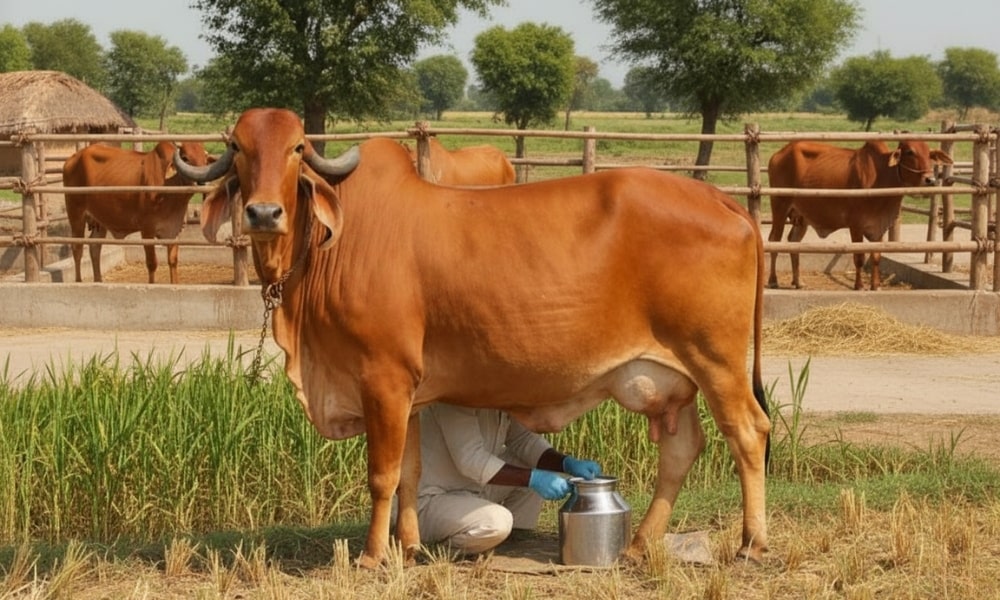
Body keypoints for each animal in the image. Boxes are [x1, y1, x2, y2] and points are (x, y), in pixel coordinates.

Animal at [62, 141, 212, 284]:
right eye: (185, 158)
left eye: (205, 158)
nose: (202, 182)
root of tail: (73, 158)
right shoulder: (147, 230)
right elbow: (152, 263)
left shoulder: (175, 228)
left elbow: (173, 261)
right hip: (76, 214)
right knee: (77, 248)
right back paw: (79, 281)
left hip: (100, 220)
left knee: (94, 246)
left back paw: (98, 281)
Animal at [174, 108, 769, 569]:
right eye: (237, 146)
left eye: (298, 147)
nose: (263, 212)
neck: (328, 249)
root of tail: (724, 200)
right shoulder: (410, 393)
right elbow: (411, 475)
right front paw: (410, 549)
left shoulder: (382, 379)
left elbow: (382, 476)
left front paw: (371, 557)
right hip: (674, 378)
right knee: (682, 450)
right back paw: (639, 545)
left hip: (715, 360)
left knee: (748, 433)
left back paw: (752, 544)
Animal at [767, 139, 952, 290]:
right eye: (910, 152)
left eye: (929, 154)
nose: (930, 180)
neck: (882, 175)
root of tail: (779, 153)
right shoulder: (855, 225)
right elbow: (859, 257)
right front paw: (859, 285)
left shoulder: (879, 226)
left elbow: (876, 256)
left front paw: (876, 286)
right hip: (779, 206)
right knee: (774, 241)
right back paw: (773, 280)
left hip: (802, 217)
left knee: (793, 242)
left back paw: (798, 282)